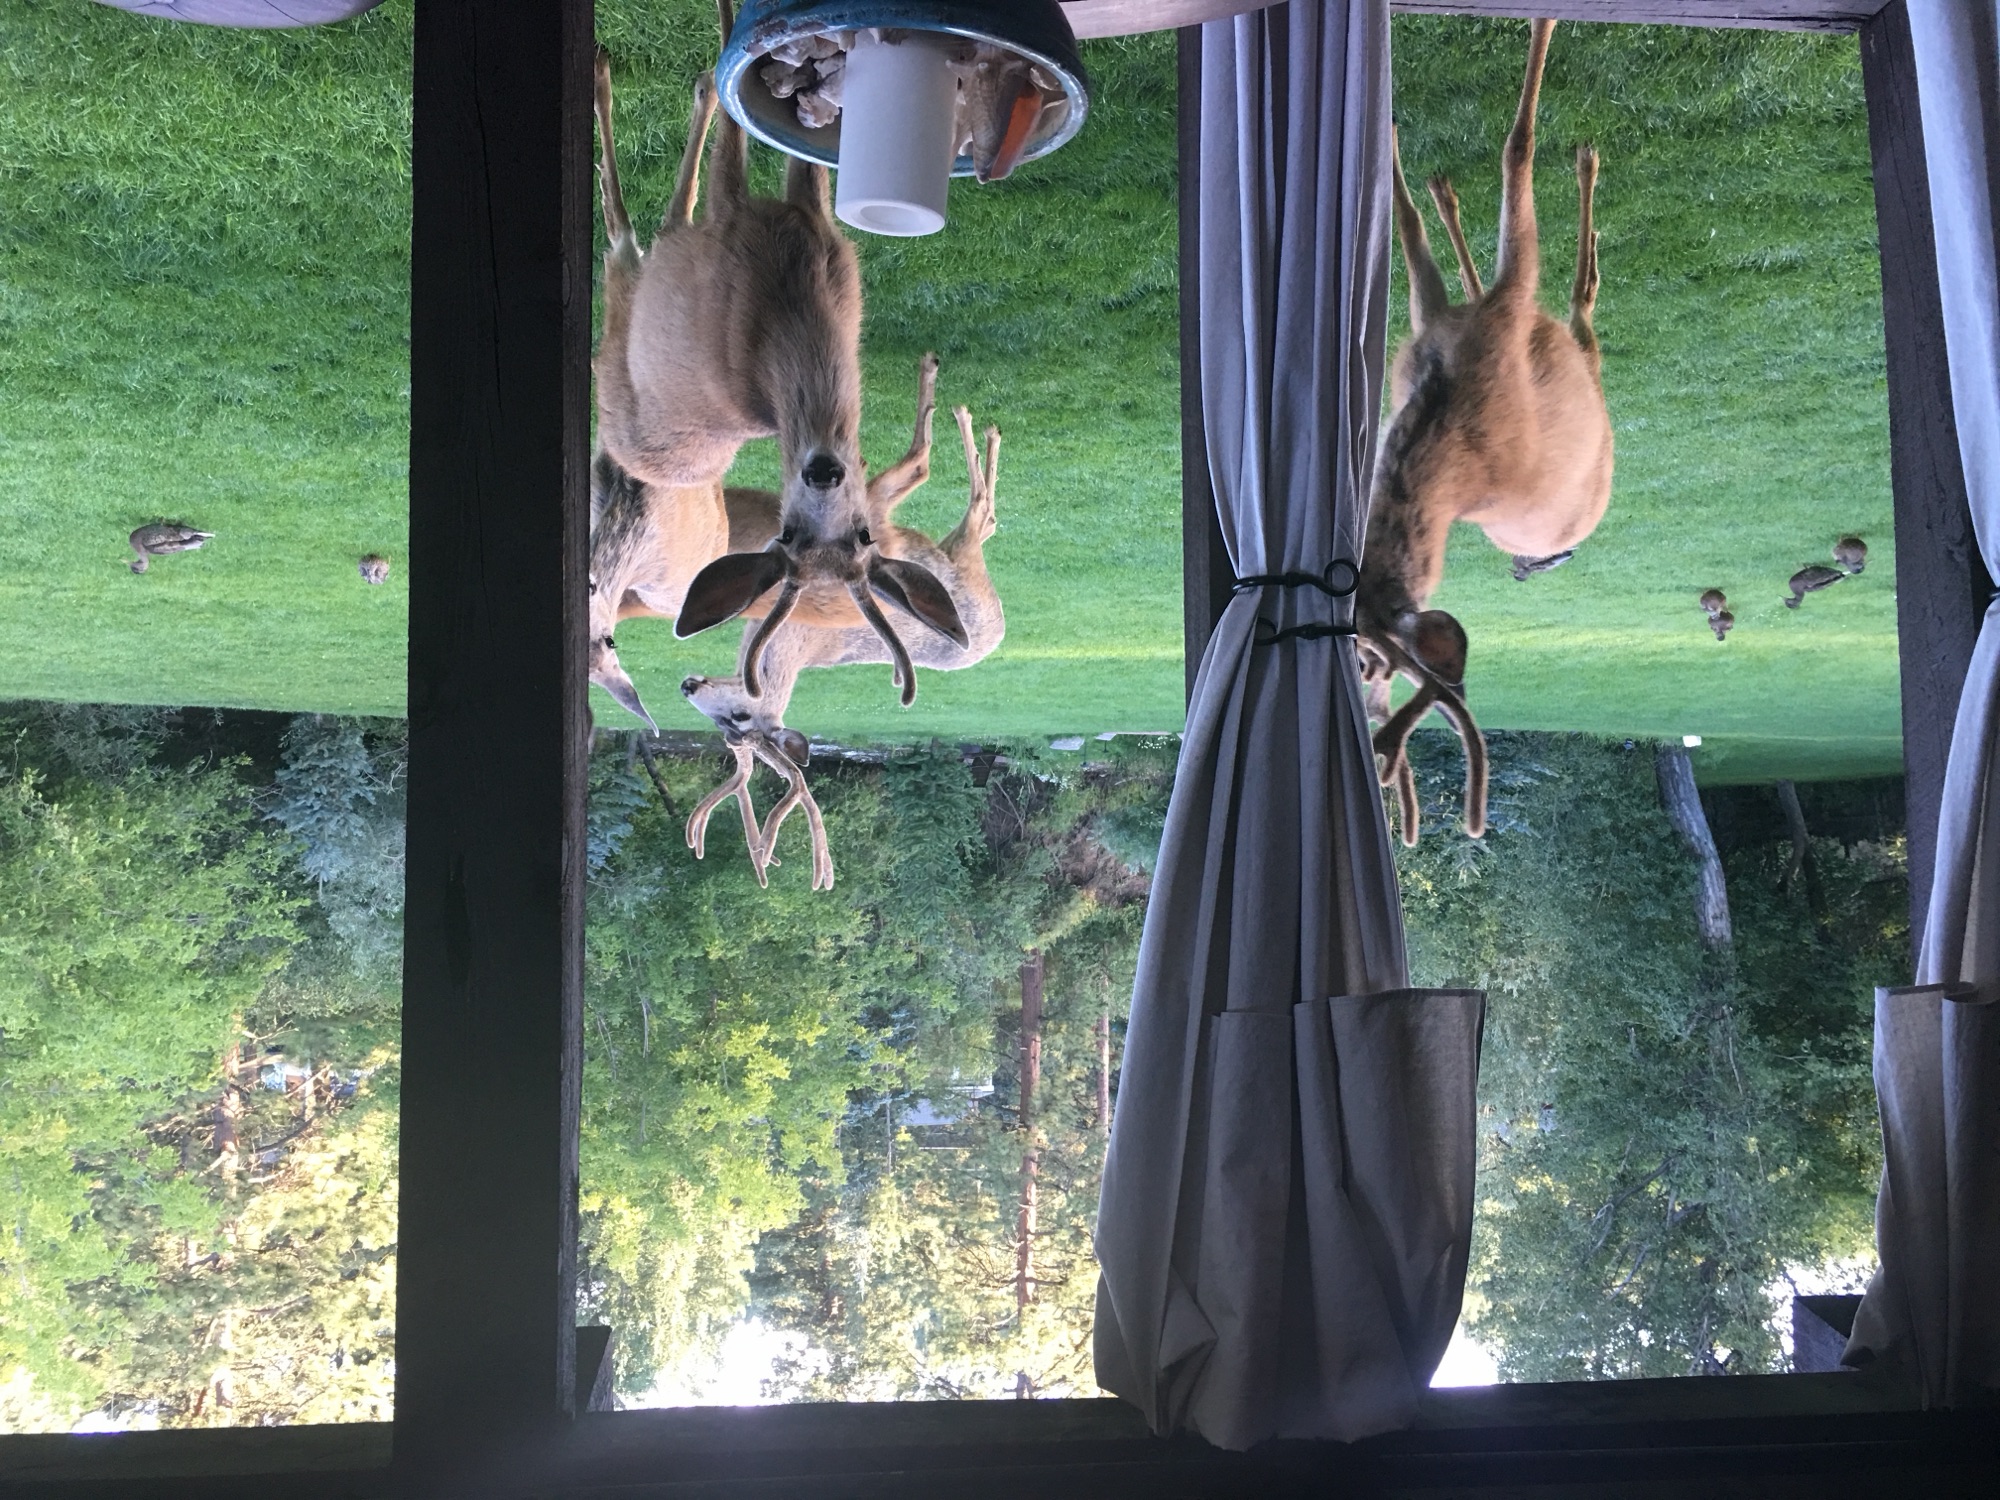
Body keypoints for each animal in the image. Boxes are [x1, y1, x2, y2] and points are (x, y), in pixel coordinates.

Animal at [592, 12, 967, 720]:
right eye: (787, 536)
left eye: (863, 538)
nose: (823, 470)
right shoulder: (771, 224)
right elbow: (763, 150)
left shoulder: (766, 220)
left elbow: (751, 154)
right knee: (644, 225)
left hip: (638, 313)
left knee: (643, 229)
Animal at [1357, 17, 1612, 846]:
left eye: (1369, 661)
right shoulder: (1460, 321)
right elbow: (1496, 167)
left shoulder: (1476, 321)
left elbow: (1507, 151)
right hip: (1561, 354)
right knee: (1575, 311)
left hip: (1550, 347)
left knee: (1573, 304)